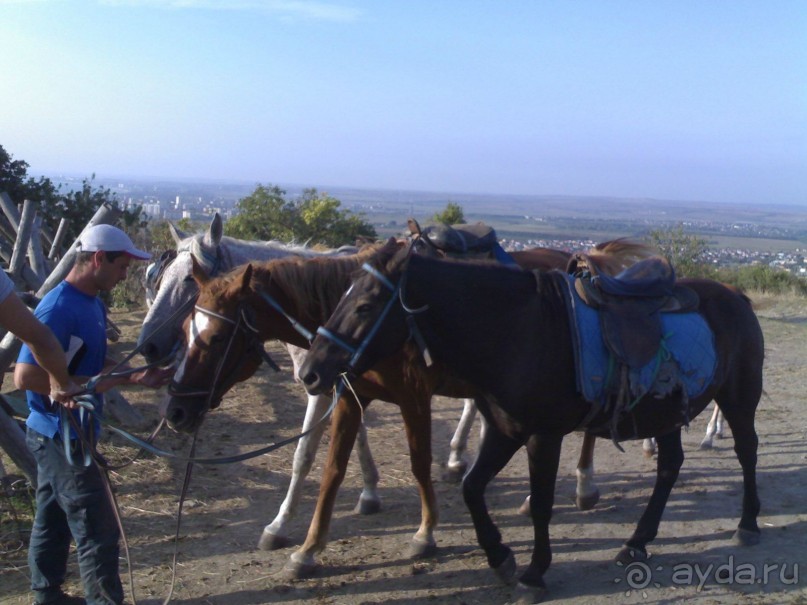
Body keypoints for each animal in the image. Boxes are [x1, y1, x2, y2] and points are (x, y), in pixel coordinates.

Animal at [302, 238, 764, 600]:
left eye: (364, 306)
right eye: (341, 297)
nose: (311, 371)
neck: (517, 331)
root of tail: (736, 296)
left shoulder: (543, 436)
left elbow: (541, 504)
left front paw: (534, 574)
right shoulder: (504, 430)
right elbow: (472, 488)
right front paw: (500, 557)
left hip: (739, 401)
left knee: (747, 453)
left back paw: (747, 525)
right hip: (665, 415)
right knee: (669, 468)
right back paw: (636, 543)